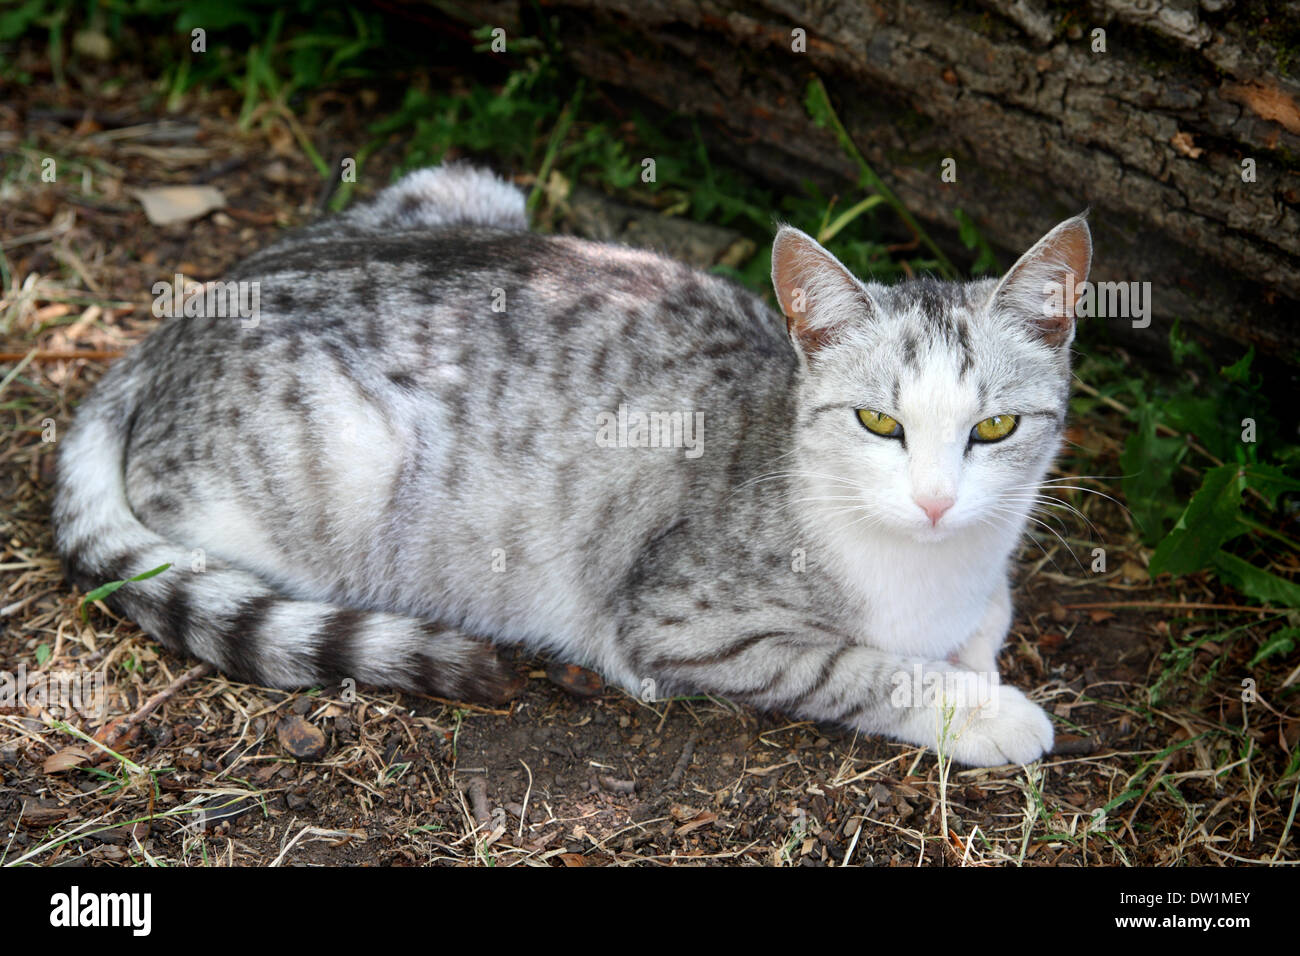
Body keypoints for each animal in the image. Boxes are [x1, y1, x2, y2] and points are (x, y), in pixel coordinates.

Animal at [55, 162, 1092, 764]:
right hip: (343, 469)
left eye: (995, 429)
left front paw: (975, 645)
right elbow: (862, 668)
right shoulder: (681, 625)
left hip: (469, 184)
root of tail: (179, 319)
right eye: (879, 422)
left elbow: (990, 611)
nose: (935, 501)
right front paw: (987, 711)